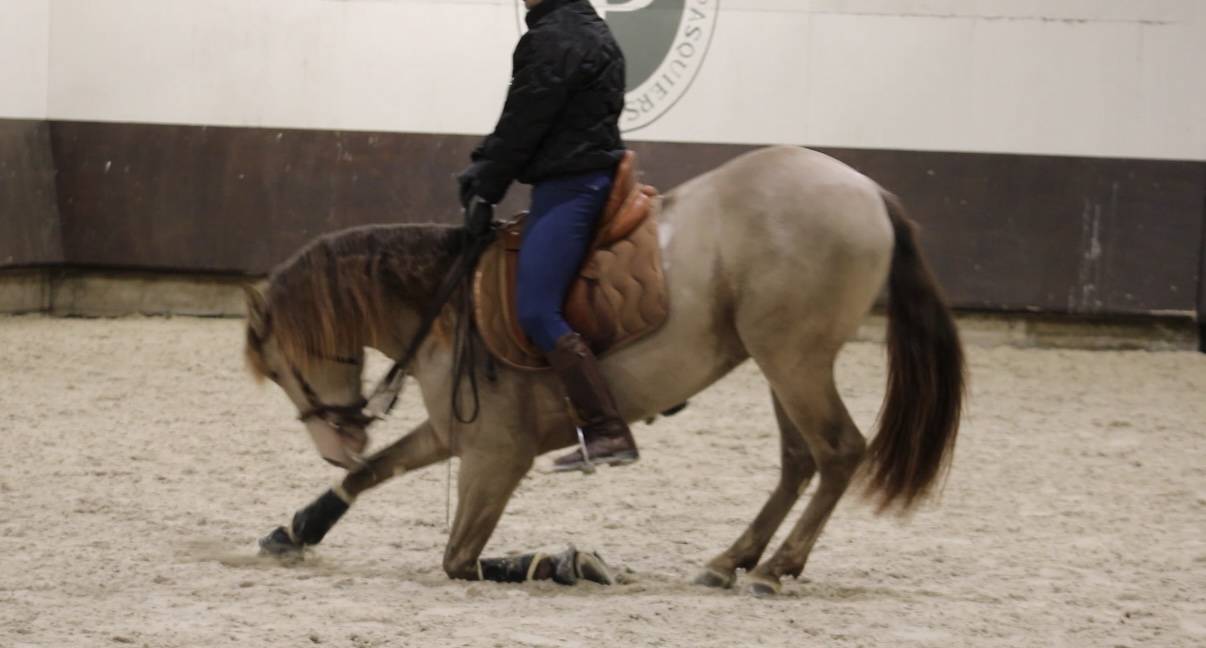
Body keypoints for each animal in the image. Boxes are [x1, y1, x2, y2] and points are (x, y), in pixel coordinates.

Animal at [242, 145, 965, 596]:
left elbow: (460, 559)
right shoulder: (456, 435)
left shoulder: (497, 456)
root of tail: (868, 190)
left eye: (279, 370)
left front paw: (568, 563)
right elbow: (373, 472)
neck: (446, 304)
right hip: (780, 365)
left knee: (839, 452)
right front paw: (295, 529)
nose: (335, 443)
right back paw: (731, 561)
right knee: (799, 461)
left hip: (795, 360)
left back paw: (773, 568)